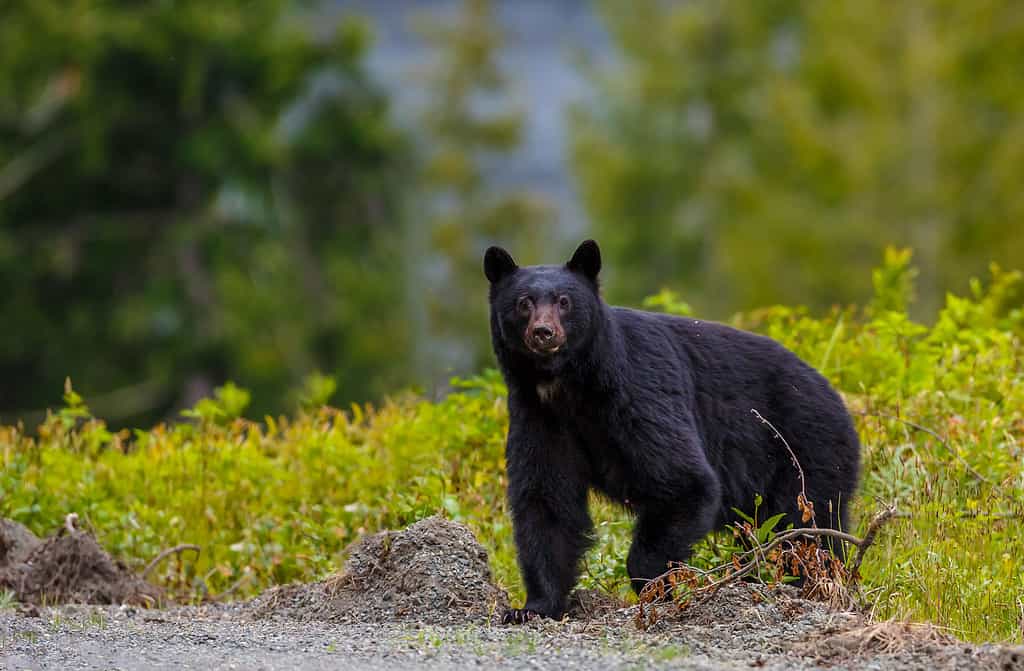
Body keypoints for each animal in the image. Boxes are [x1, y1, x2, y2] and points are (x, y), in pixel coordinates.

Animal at [483, 239, 860, 622]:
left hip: (804, 451)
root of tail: (838, 399)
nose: (544, 333)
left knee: (805, 528)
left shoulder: (640, 393)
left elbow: (683, 481)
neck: (571, 386)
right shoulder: (539, 416)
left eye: (564, 301)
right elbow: (547, 502)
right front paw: (533, 607)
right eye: (523, 303)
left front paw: (654, 588)